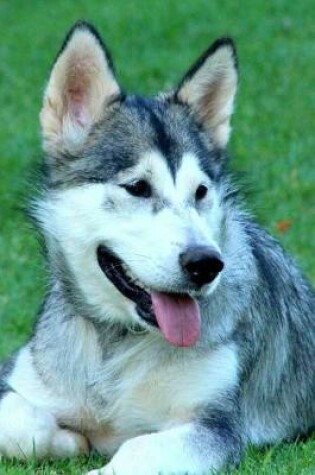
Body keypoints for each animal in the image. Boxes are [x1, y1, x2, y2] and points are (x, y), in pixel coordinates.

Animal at [0, 21, 314, 475]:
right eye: (137, 187)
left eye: (201, 192)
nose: (205, 264)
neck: (117, 342)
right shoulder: (17, 376)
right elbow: (23, 425)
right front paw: (69, 440)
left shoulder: (215, 427)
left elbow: (137, 449)